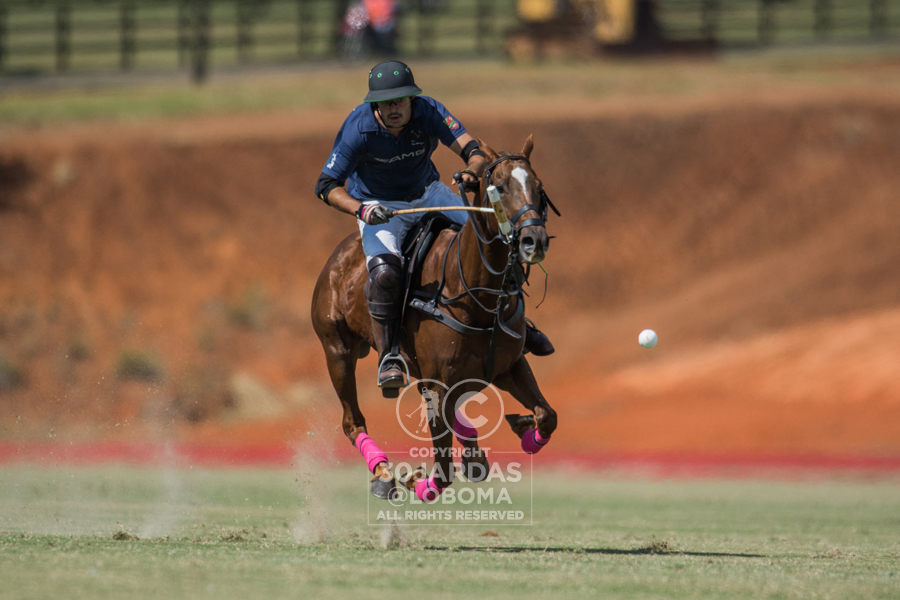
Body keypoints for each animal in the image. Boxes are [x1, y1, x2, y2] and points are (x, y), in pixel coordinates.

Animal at [312, 136, 560, 502]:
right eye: (499, 187)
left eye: (539, 188)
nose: (535, 240)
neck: (476, 296)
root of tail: (340, 254)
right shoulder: (439, 382)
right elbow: (442, 471)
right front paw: (416, 481)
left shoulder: (509, 367)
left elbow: (547, 415)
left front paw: (524, 429)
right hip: (336, 350)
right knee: (352, 420)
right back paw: (383, 473)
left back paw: (474, 452)